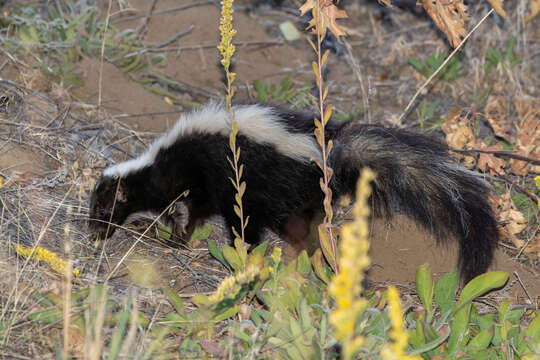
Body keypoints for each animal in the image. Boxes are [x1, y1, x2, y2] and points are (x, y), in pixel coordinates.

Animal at [88, 102, 498, 282]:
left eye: (103, 211)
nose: (93, 234)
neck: (155, 165)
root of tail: (331, 153)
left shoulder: (198, 174)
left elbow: (189, 212)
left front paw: (170, 237)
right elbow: (186, 211)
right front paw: (161, 230)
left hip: (266, 191)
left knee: (271, 226)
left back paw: (261, 252)